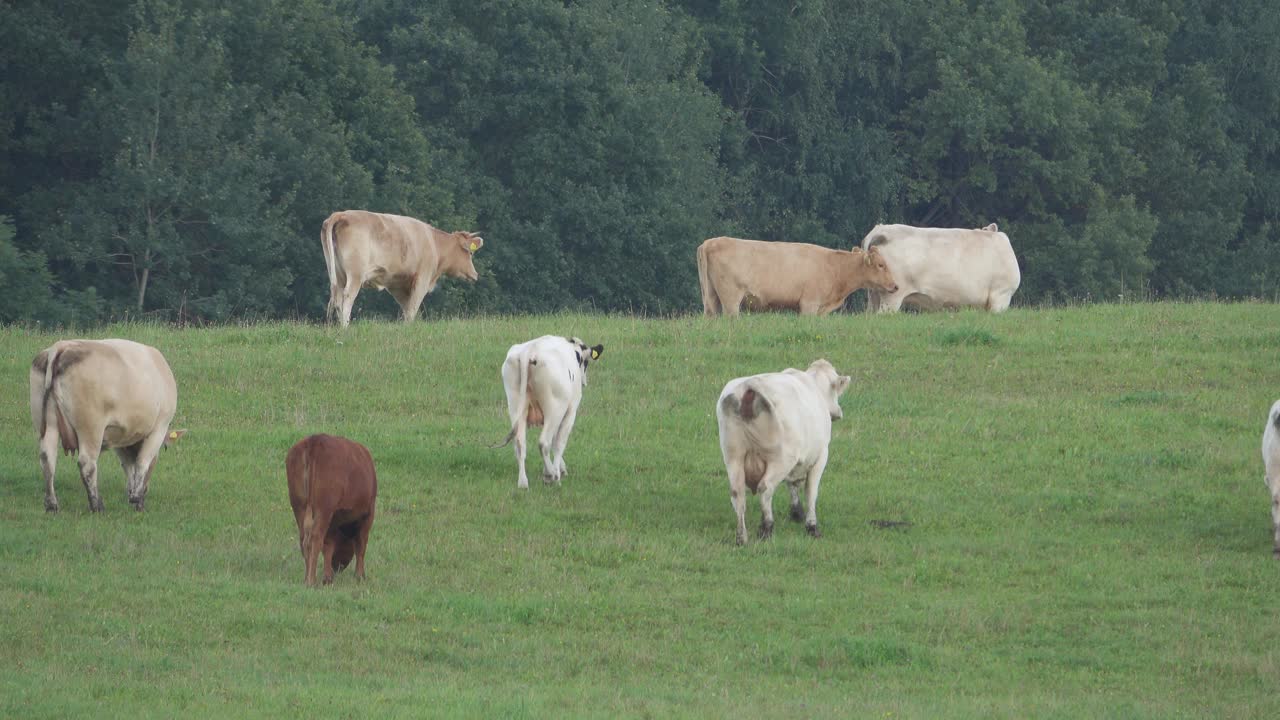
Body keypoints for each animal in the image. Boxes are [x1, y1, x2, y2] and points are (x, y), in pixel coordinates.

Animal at [29, 338, 185, 509]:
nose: (146, 490)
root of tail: (63, 346)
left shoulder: (121, 437)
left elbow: (128, 466)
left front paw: (131, 494)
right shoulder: (159, 428)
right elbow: (142, 463)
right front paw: (137, 500)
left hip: (47, 424)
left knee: (47, 459)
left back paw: (51, 505)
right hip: (91, 427)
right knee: (87, 463)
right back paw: (97, 505)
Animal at [284, 430, 373, 584]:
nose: (337, 567)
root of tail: (314, 440)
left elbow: (328, 546)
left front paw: (327, 577)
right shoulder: (368, 514)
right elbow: (361, 544)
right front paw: (360, 576)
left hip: (299, 506)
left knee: (304, 539)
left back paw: (306, 578)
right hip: (323, 509)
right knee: (315, 537)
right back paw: (311, 581)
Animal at [320, 208, 483, 326]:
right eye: (470, 253)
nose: (475, 274)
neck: (434, 243)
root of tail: (341, 214)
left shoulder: (397, 284)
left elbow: (406, 308)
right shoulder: (422, 278)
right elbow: (412, 308)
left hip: (338, 274)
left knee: (338, 298)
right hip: (355, 274)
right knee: (348, 297)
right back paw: (345, 327)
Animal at [696, 235, 896, 313]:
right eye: (881, 264)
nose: (895, 286)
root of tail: (711, 242)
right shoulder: (809, 304)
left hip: (711, 298)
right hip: (730, 300)